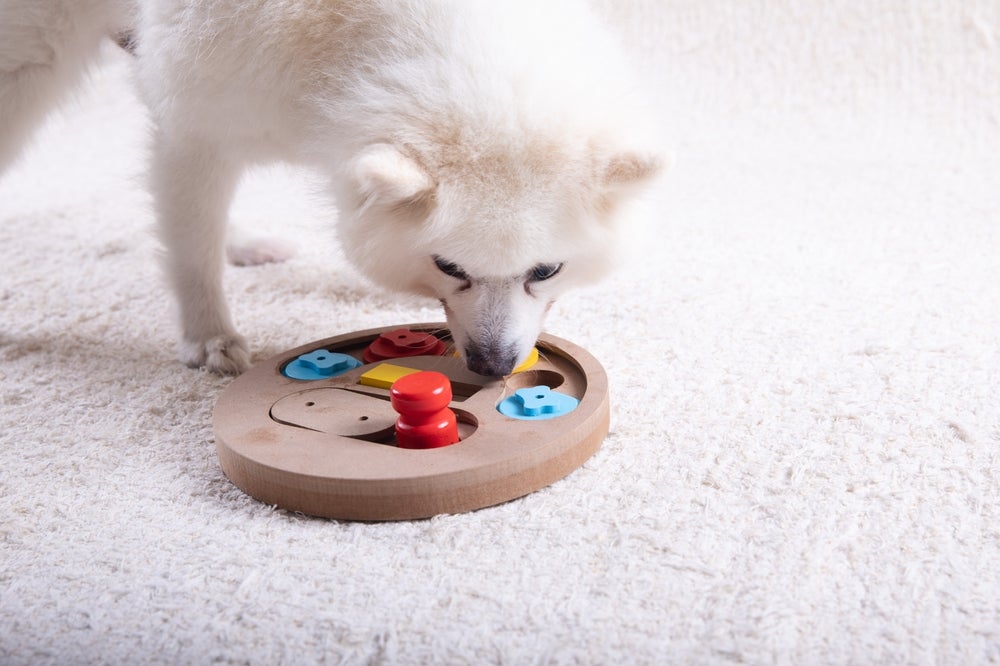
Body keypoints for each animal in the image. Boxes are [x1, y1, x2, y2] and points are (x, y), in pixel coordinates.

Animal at [0, 0, 664, 374]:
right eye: (450, 267)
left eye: (545, 271)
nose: (494, 366)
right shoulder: (194, 121)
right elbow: (190, 245)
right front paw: (209, 336)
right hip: (29, 62)